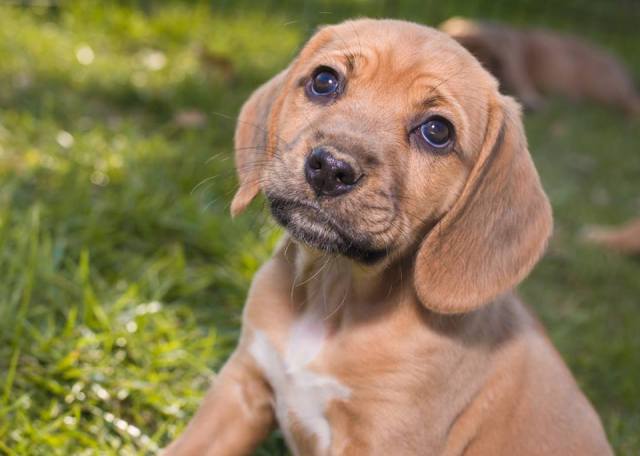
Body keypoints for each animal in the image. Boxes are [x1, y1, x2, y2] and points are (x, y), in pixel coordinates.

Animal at [164, 19, 612, 455]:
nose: (331, 168)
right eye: (324, 81)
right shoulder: (243, 387)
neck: (332, 296)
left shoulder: (383, 438)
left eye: (437, 131)